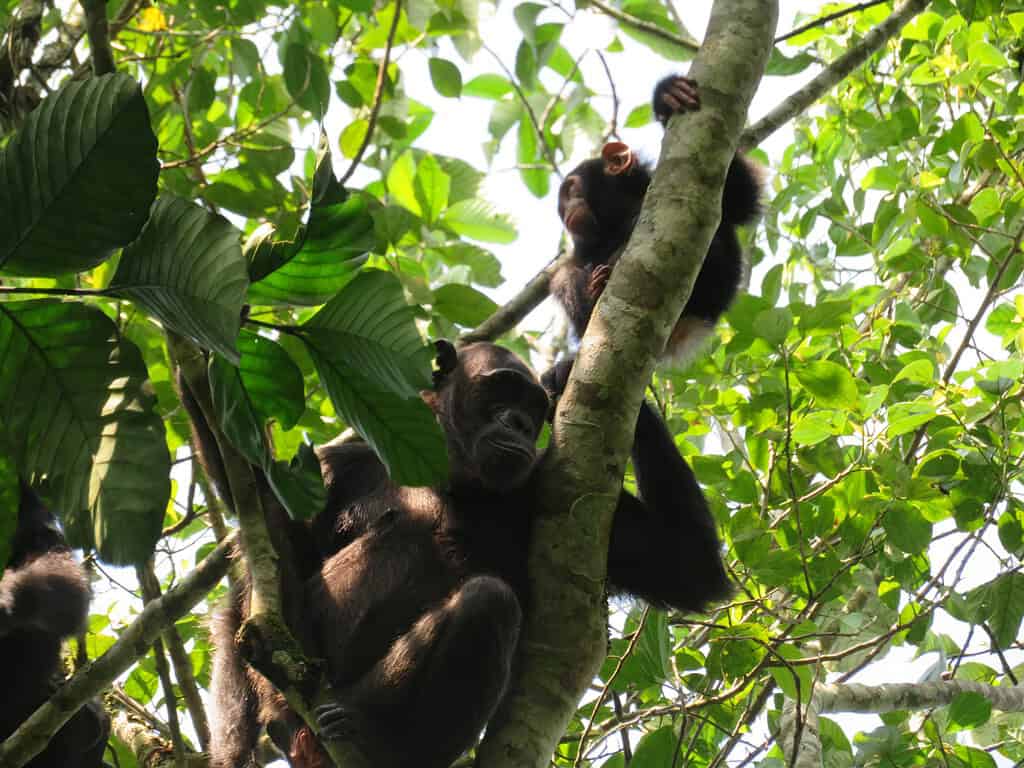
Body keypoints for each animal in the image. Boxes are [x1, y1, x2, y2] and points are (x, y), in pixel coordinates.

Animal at [209, 342, 729, 768]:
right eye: (501, 391)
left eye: (533, 407)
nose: (519, 422)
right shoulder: (335, 465)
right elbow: (260, 566)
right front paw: (236, 748)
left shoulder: (562, 491)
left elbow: (687, 566)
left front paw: (567, 373)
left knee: (488, 602)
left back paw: (373, 737)